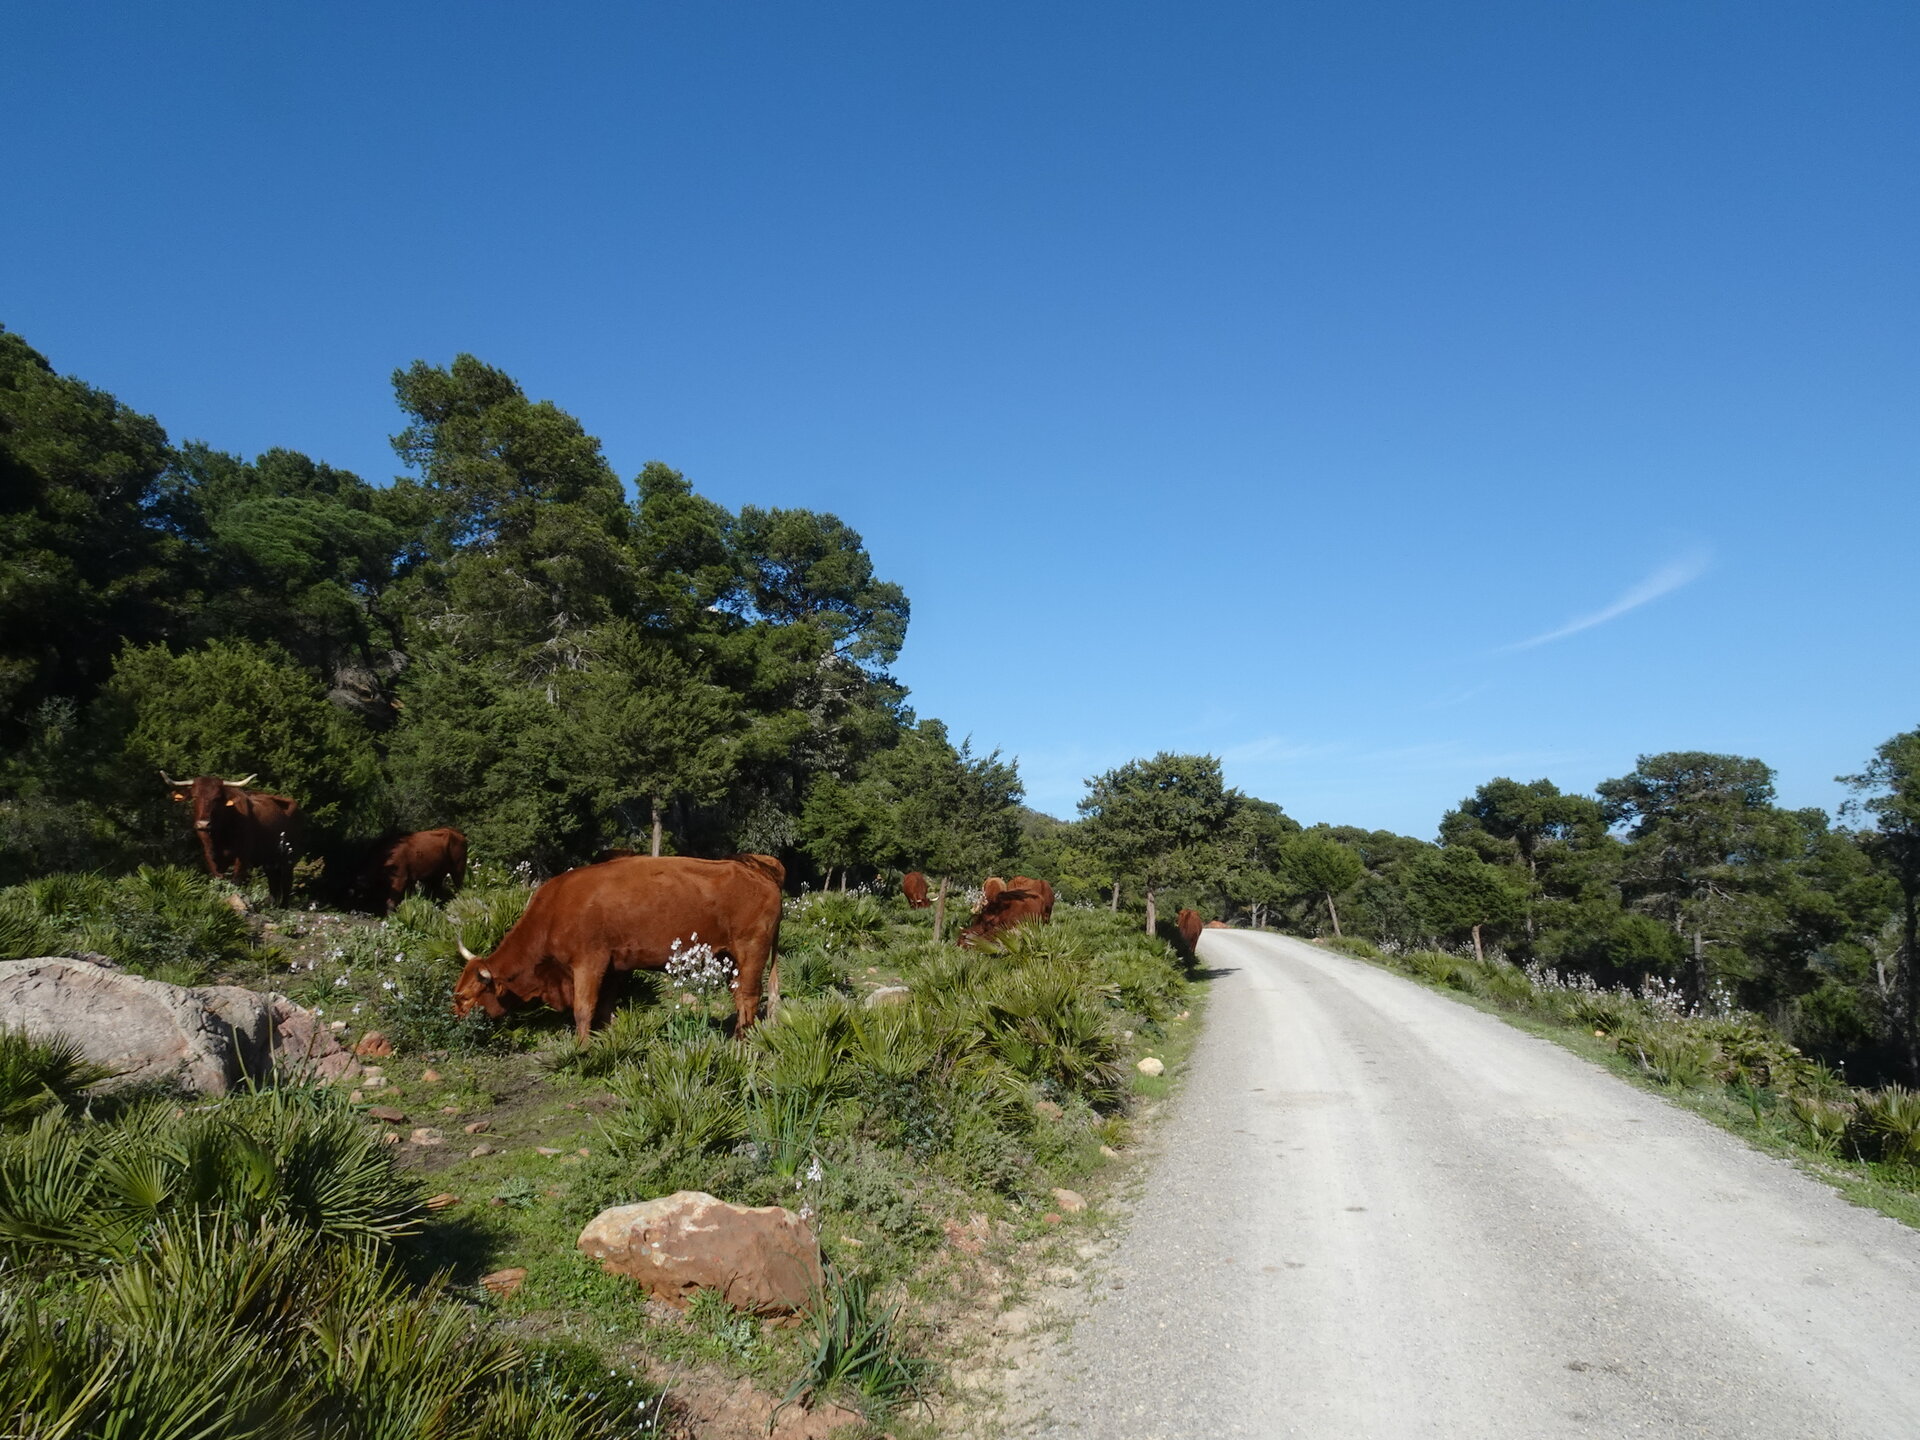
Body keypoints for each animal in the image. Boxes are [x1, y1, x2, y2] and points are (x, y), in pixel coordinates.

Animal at [163, 772, 302, 906]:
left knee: (287, 881)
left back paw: (283, 905)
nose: (203, 824)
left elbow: (236, 880)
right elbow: (218, 878)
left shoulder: (243, 856)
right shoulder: (210, 854)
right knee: (273, 880)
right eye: (195, 797)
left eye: (217, 798)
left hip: (289, 858)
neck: (220, 834)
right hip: (270, 860)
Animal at [452, 853, 785, 1044]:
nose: (455, 1021)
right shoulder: (613, 968)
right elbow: (604, 1008)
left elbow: (583, 1009)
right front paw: (609, 1040)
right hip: (730, 958)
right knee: (741, 996)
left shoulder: (588, 963)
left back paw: (743, 1042)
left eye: (465, 996)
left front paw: (582, 1049)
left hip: (751, 951)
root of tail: (760, 870)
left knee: (750, 996)